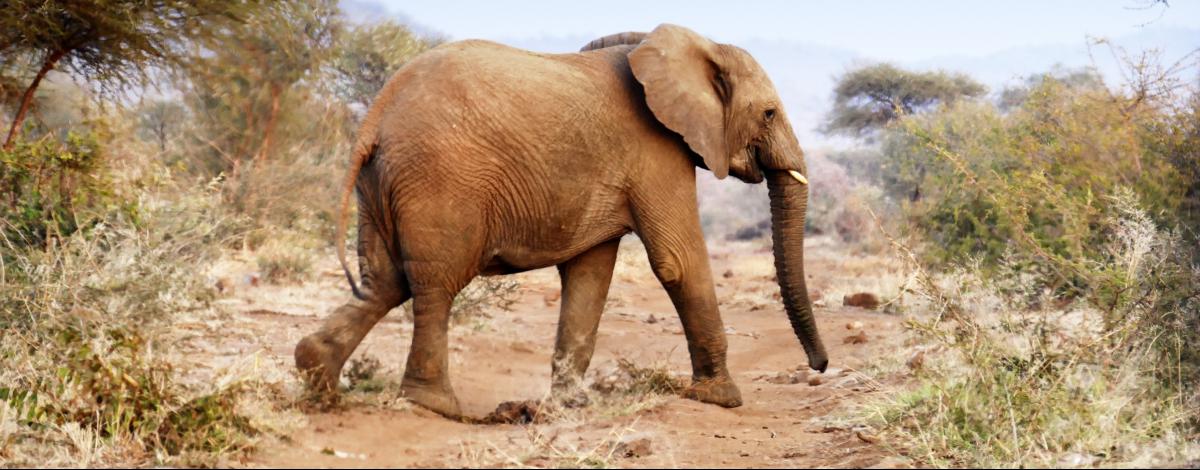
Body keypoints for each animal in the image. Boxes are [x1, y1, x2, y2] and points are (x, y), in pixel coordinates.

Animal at [295, 23, 830, 417]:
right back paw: (435, 406)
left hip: (380, 182)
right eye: (768, 113)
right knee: (434, 284)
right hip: (439, 178)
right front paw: (721, 399)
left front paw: (570, 406)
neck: (693, 45)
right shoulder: (657, 150)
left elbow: (589, 276)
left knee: (383, 282)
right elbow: (678, 261)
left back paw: (317, 379)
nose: (819, 367)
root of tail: (378, 113)